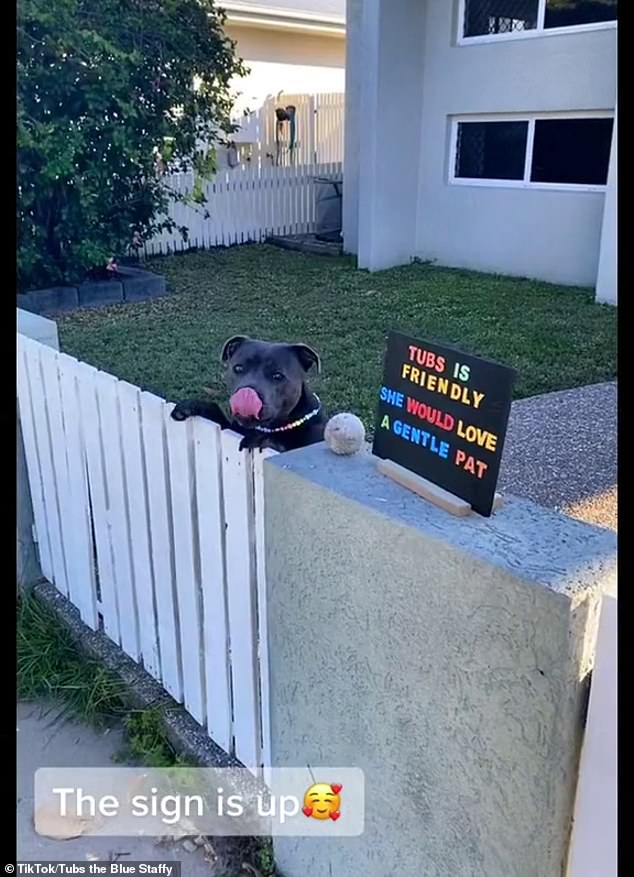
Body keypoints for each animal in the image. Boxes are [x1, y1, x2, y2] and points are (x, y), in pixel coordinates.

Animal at [170, 332, 324, 448]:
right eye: (238, 368)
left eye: (277, 375)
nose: (246, 393)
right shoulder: (231, 428)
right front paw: (192, 406)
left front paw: (267, 441)